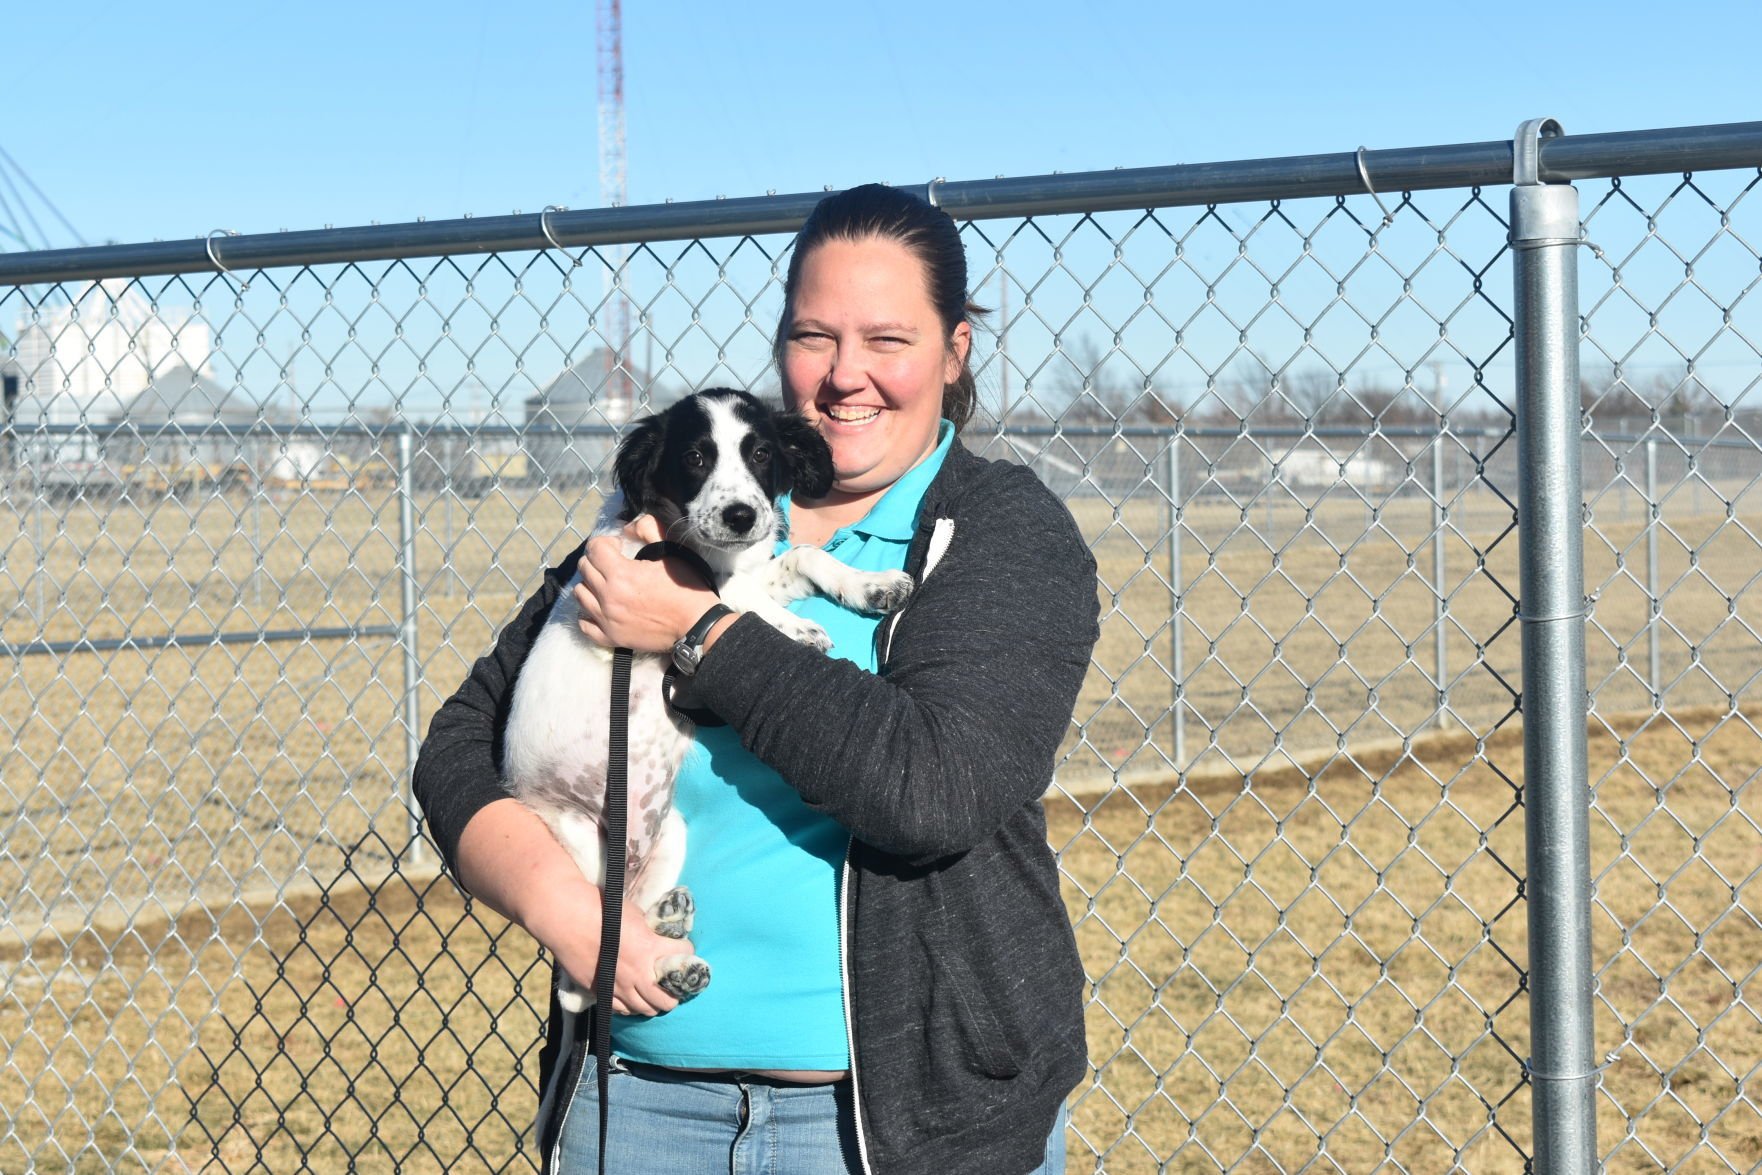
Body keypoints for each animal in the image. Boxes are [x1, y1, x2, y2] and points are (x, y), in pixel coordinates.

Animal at [496, 387, 909, 1014]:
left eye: (761, 453)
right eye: (694, 457)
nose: (741, 516)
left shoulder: (757, 567)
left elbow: (804, 556)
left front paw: (871, 584)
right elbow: (734, 603)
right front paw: (795, 630)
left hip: (669, 835)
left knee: (619, 935)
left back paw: (671, 939)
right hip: (576, 850)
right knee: (585, 972)